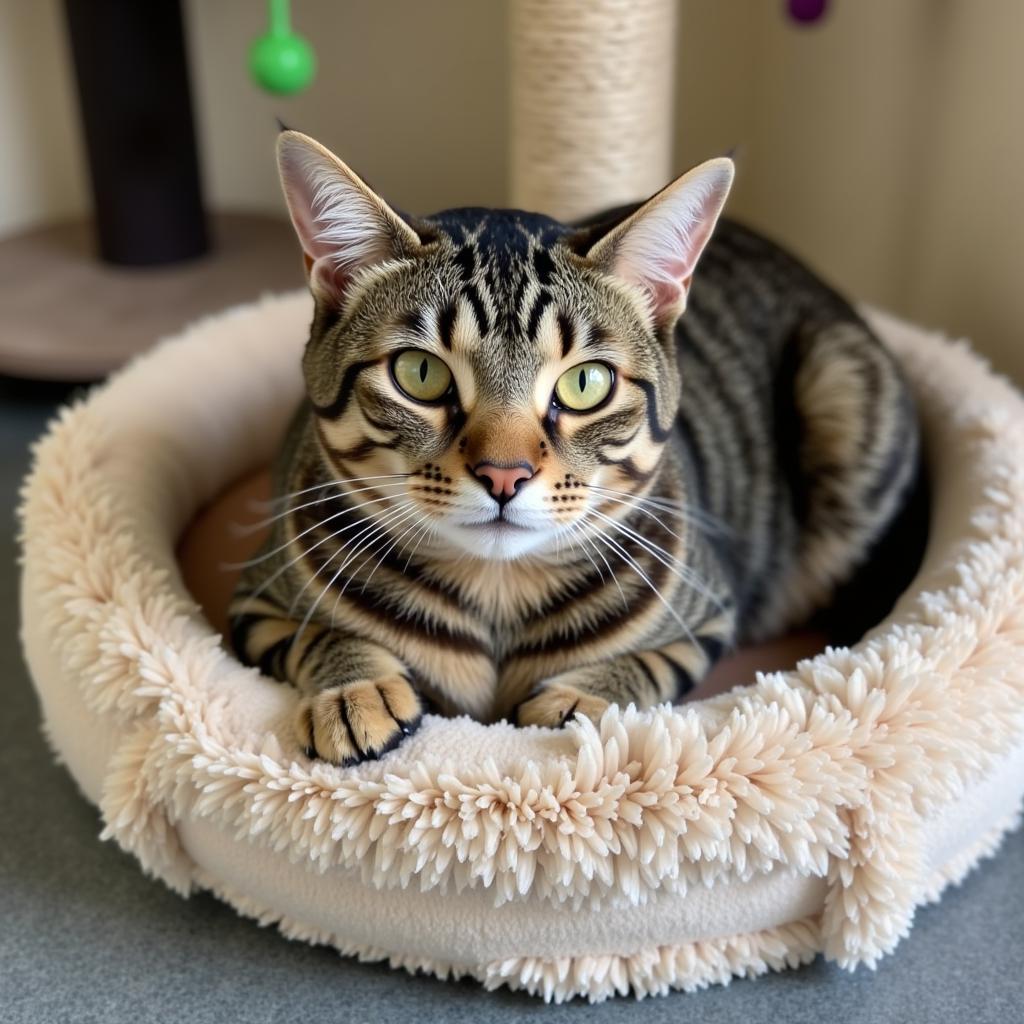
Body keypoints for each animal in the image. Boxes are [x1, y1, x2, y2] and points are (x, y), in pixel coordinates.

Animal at [230, 130, 921, 770]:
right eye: (419, 374)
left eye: (585, 383)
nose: (503, 475)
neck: (497, 596)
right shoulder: (255, 603)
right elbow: (318, 638)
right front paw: (356, 691)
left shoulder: (709, 620)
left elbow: (646, 669)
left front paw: (579, 698)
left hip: (839, 387)